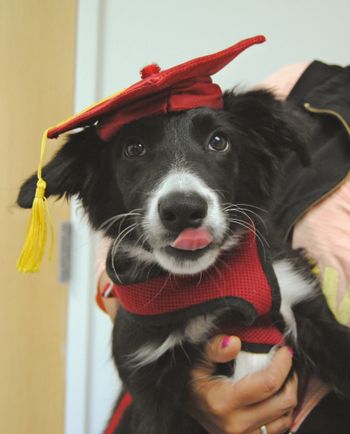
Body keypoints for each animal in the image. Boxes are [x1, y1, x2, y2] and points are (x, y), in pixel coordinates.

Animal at [17, 88, 350, 430]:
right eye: (133, 148)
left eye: (218, 141)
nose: (183, 209)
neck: (212, 283)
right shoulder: (148, 379)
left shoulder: (303, 299)